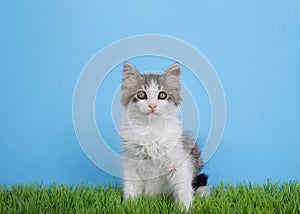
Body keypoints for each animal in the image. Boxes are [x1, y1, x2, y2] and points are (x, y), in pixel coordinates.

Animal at [119, 61, 209, 211]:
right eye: (141, 94)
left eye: (162, 95)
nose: (152, 105)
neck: (150, 130)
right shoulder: (131, 165)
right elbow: (131, 189)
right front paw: (130, 206)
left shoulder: (179, 163)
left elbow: (183, 190)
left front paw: (184, 209)